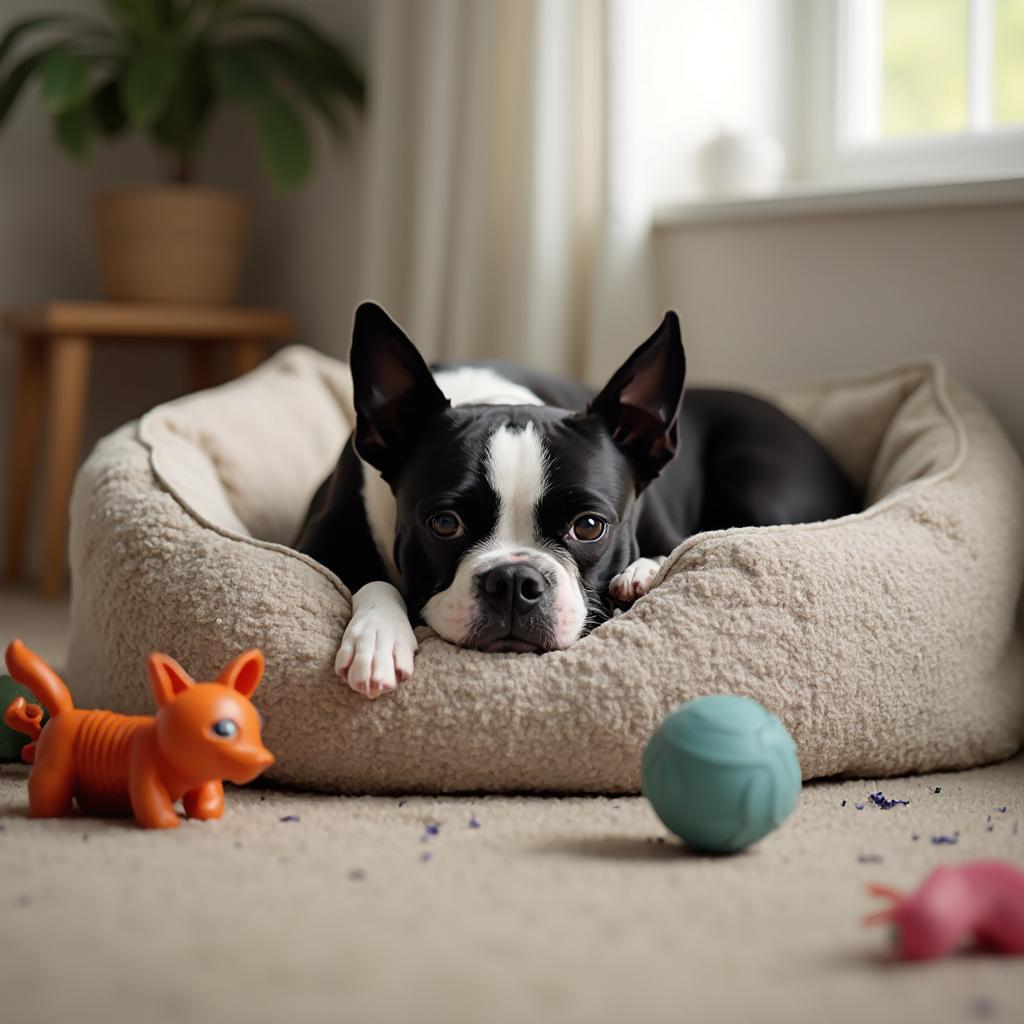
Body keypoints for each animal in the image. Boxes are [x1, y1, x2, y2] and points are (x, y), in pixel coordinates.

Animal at [296, 303, 856, 700]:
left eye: (589, 527)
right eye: (444, 524)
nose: (514, 581)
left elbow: (675, 547)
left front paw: (640, 572)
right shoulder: (316, 543)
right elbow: (367, 579)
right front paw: (378, 636)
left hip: (756, 484)